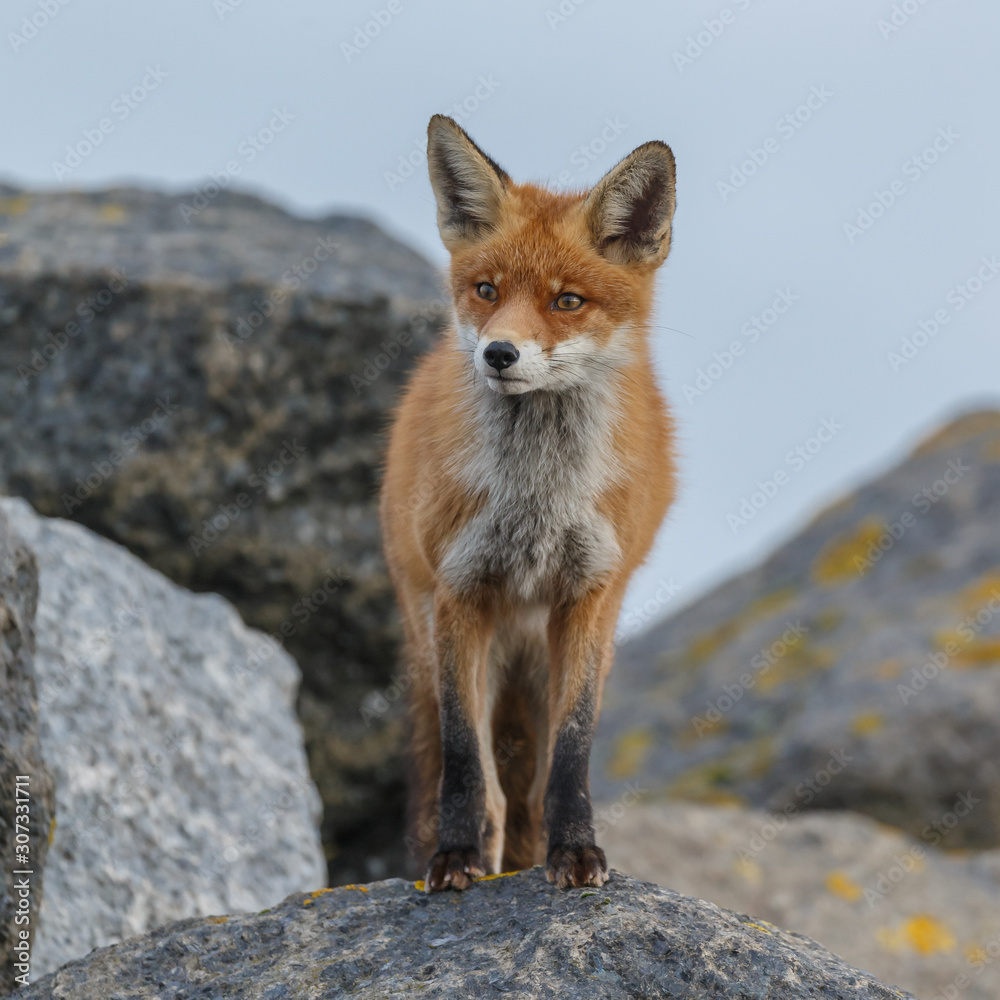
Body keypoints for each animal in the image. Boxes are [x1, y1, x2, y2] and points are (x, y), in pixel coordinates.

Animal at [380, 115, 677, 892]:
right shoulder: (459, 592)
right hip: (429, 628)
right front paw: (455, 857)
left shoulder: (589, 596)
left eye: (566, 300)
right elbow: (465, 763)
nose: (499, 354)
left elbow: (569, 759)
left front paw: (575, 851)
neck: (537, 501)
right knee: (488, 779)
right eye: (486, 289)